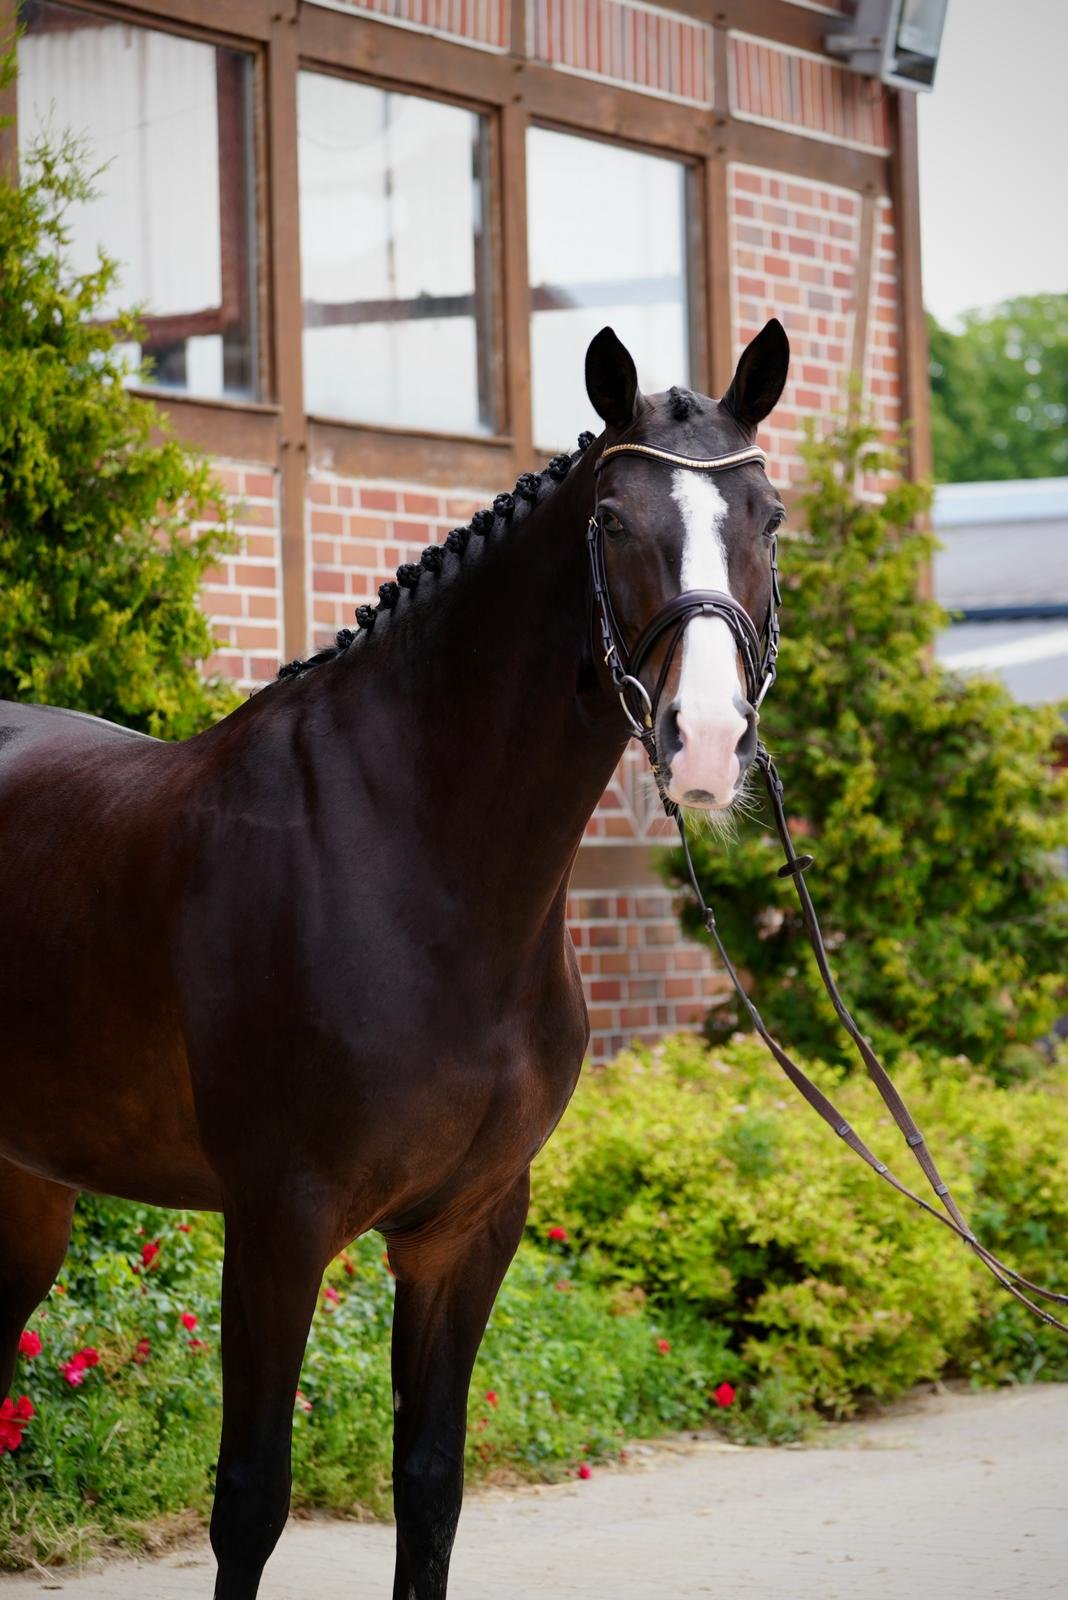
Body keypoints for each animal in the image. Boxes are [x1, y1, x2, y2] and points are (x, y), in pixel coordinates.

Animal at [0, 319, 790, 1599]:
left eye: (768, 516)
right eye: (614, 521)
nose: (710, 743)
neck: (417, 860)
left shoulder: (465, 1228)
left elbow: (428, 1488)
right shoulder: (279, 1221)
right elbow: (250, 1501)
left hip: (25, 1184)